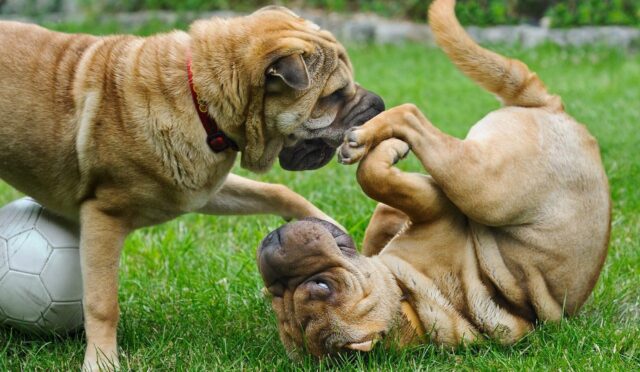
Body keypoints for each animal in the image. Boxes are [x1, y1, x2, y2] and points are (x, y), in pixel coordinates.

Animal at [0, 5, 384, 370]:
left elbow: (278, 191)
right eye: (335, 94)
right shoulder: (103, 215)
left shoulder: (200, 190)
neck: (200, 97)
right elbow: (102, 301)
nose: (380, 104)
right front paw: (101, 361)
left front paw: (331, 228)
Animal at [256, 0, 608, 358]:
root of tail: (553, 107)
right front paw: (389, 149)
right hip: (482, 185)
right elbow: (372, 175)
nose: (273, 244)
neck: (410, 305)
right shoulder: (433, 206)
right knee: (412, 115)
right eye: (277, 295)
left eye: (322, 286)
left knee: (410, 119)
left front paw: (388, 152)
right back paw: (368, 138)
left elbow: (377, 188)